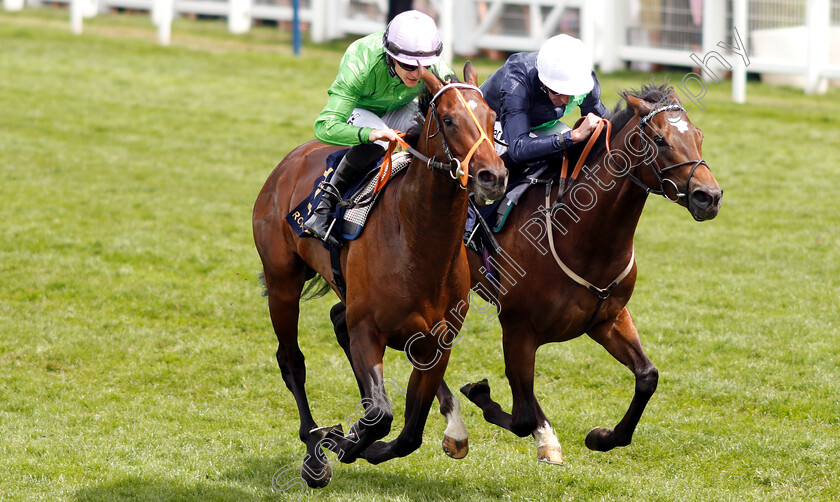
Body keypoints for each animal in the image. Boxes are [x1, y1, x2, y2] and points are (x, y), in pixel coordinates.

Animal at [251, 62, 506, 486]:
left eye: (492, 118)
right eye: (449, 119)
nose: (493, 177)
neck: (418, 244)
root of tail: (292, 159)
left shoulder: (437, 344)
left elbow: (409, 431)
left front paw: (361, 444)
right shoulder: (368, 329)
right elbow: (381, 415)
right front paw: (338, 441)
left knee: (337, 323)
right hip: (282, 283)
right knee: (291, 361)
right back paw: (313, 450)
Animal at [450, 82, 724, 462]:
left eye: (698, 135)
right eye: (659, 139)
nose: (709, 196)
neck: (584, 239)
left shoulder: (608, 318)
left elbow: (647, 376)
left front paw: (603, 436)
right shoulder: (518, 329)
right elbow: (521, 416)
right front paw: (484, 397)